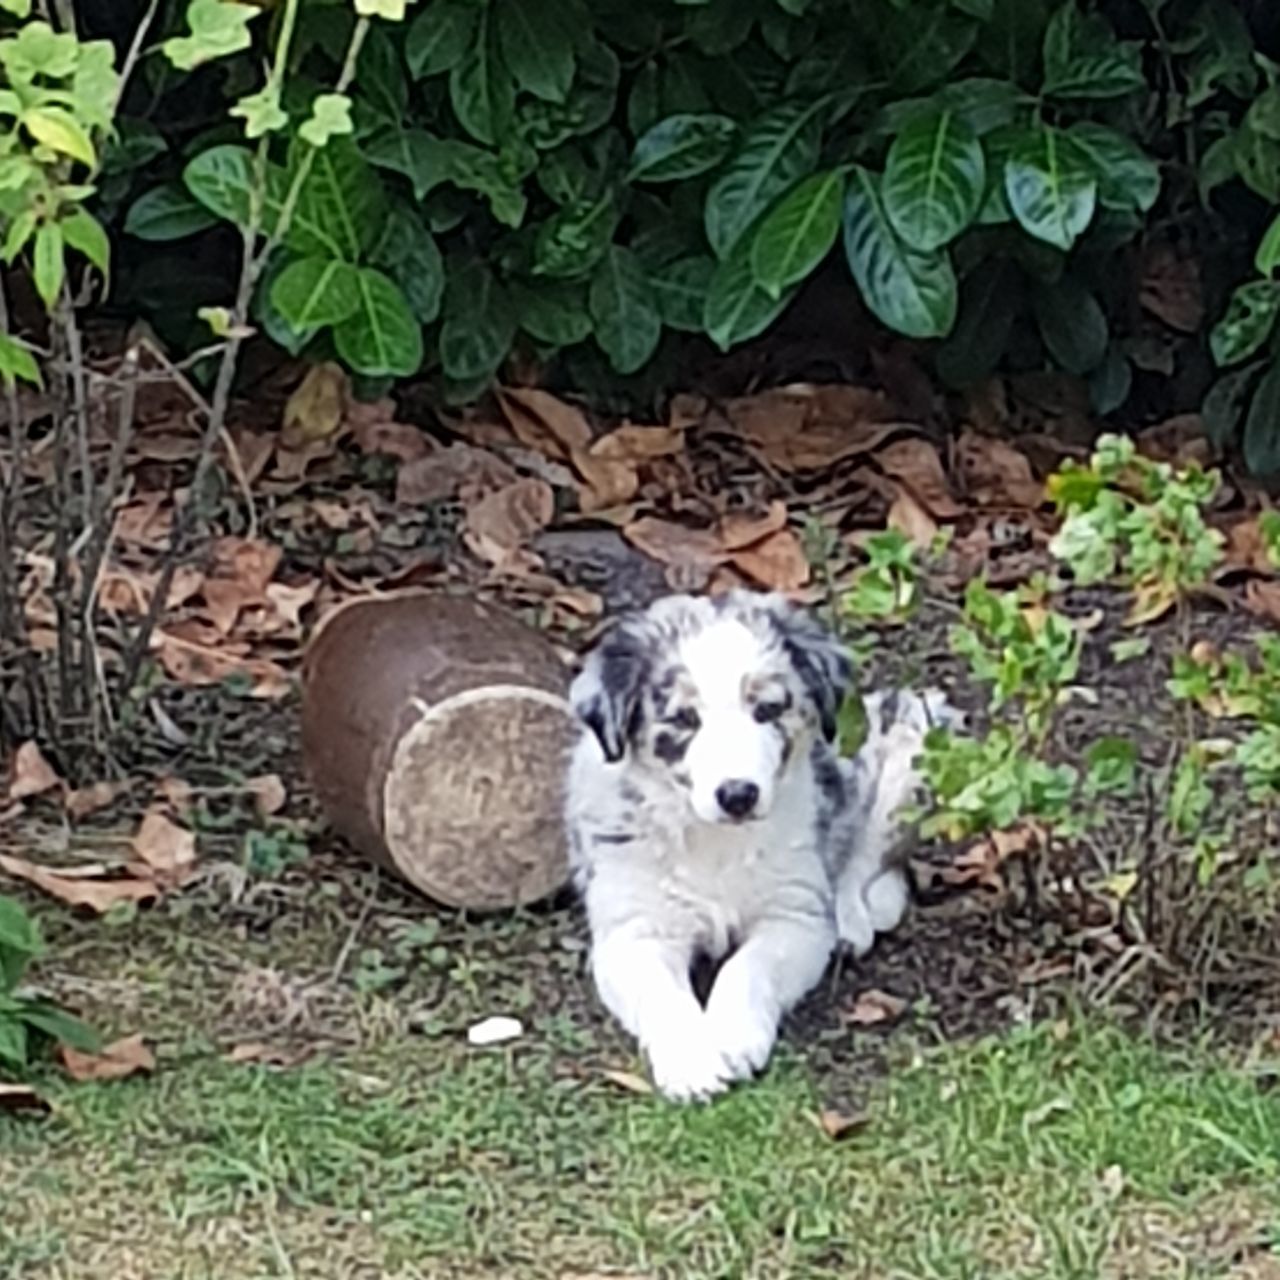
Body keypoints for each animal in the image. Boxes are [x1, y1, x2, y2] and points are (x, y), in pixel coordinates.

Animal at [565, 588, 957, 1100]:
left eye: (767, 710)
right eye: (684, 719)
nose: (738, 795)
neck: (715, 840)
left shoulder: (793, 915)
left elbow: (748, 967)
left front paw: (733, 1038)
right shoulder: (634, 930)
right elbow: (661, 994)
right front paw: (693, 1064)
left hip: (914, 739)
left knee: (865, 859)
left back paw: (850, 922)